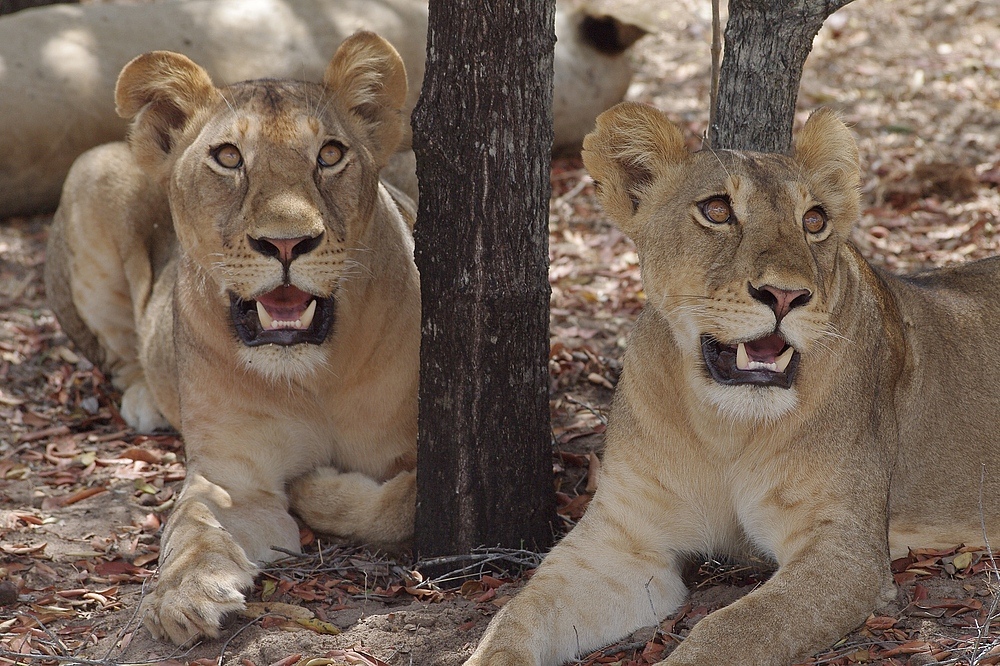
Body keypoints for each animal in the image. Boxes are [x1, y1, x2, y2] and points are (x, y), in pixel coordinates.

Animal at [45, 29, 420, 644]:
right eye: (228, 157)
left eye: (330, 154)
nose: (287, 243)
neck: (314, 376)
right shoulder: (230, 475)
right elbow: (193, 526)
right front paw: (183, 595)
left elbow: (401, 505)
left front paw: (312, 487)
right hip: (88, 176)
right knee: (120, 351)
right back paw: (145, 399)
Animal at [464, 104, 996, 664]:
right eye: (717, 211)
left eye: (814, 221)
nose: (785, 296)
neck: (725, 428)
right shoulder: (623, 546)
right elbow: (514, 618)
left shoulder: (844, 551)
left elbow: (731, 630)